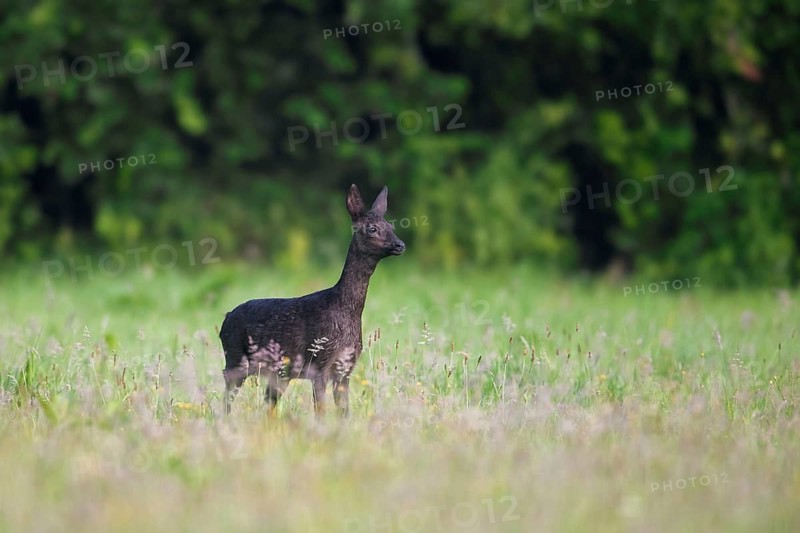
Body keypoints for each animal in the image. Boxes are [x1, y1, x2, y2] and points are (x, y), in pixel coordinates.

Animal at [219, 184, 405, 416]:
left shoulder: (346, 368)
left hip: (279, 372)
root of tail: (225, 319)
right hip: (235, 358)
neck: (345, 309)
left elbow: (344, 412)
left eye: (391, 225)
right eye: (372, 228)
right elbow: (321, 412)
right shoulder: (319, 364)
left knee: (267, 405)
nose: (400, 244)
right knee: (226, 401)